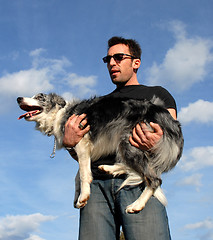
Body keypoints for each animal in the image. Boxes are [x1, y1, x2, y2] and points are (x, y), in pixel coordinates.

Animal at [16, 93, 184, 213]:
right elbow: (77, 177)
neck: (59, 114)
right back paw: (109, 168)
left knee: (154, 179)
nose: (18, 98)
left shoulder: (82, 144)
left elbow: (84, 175)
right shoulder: (82, 151)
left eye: (39, 97)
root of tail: (173, 124)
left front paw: (83, 196)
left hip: (130, 141)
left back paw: (137, 204)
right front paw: (77, 197)